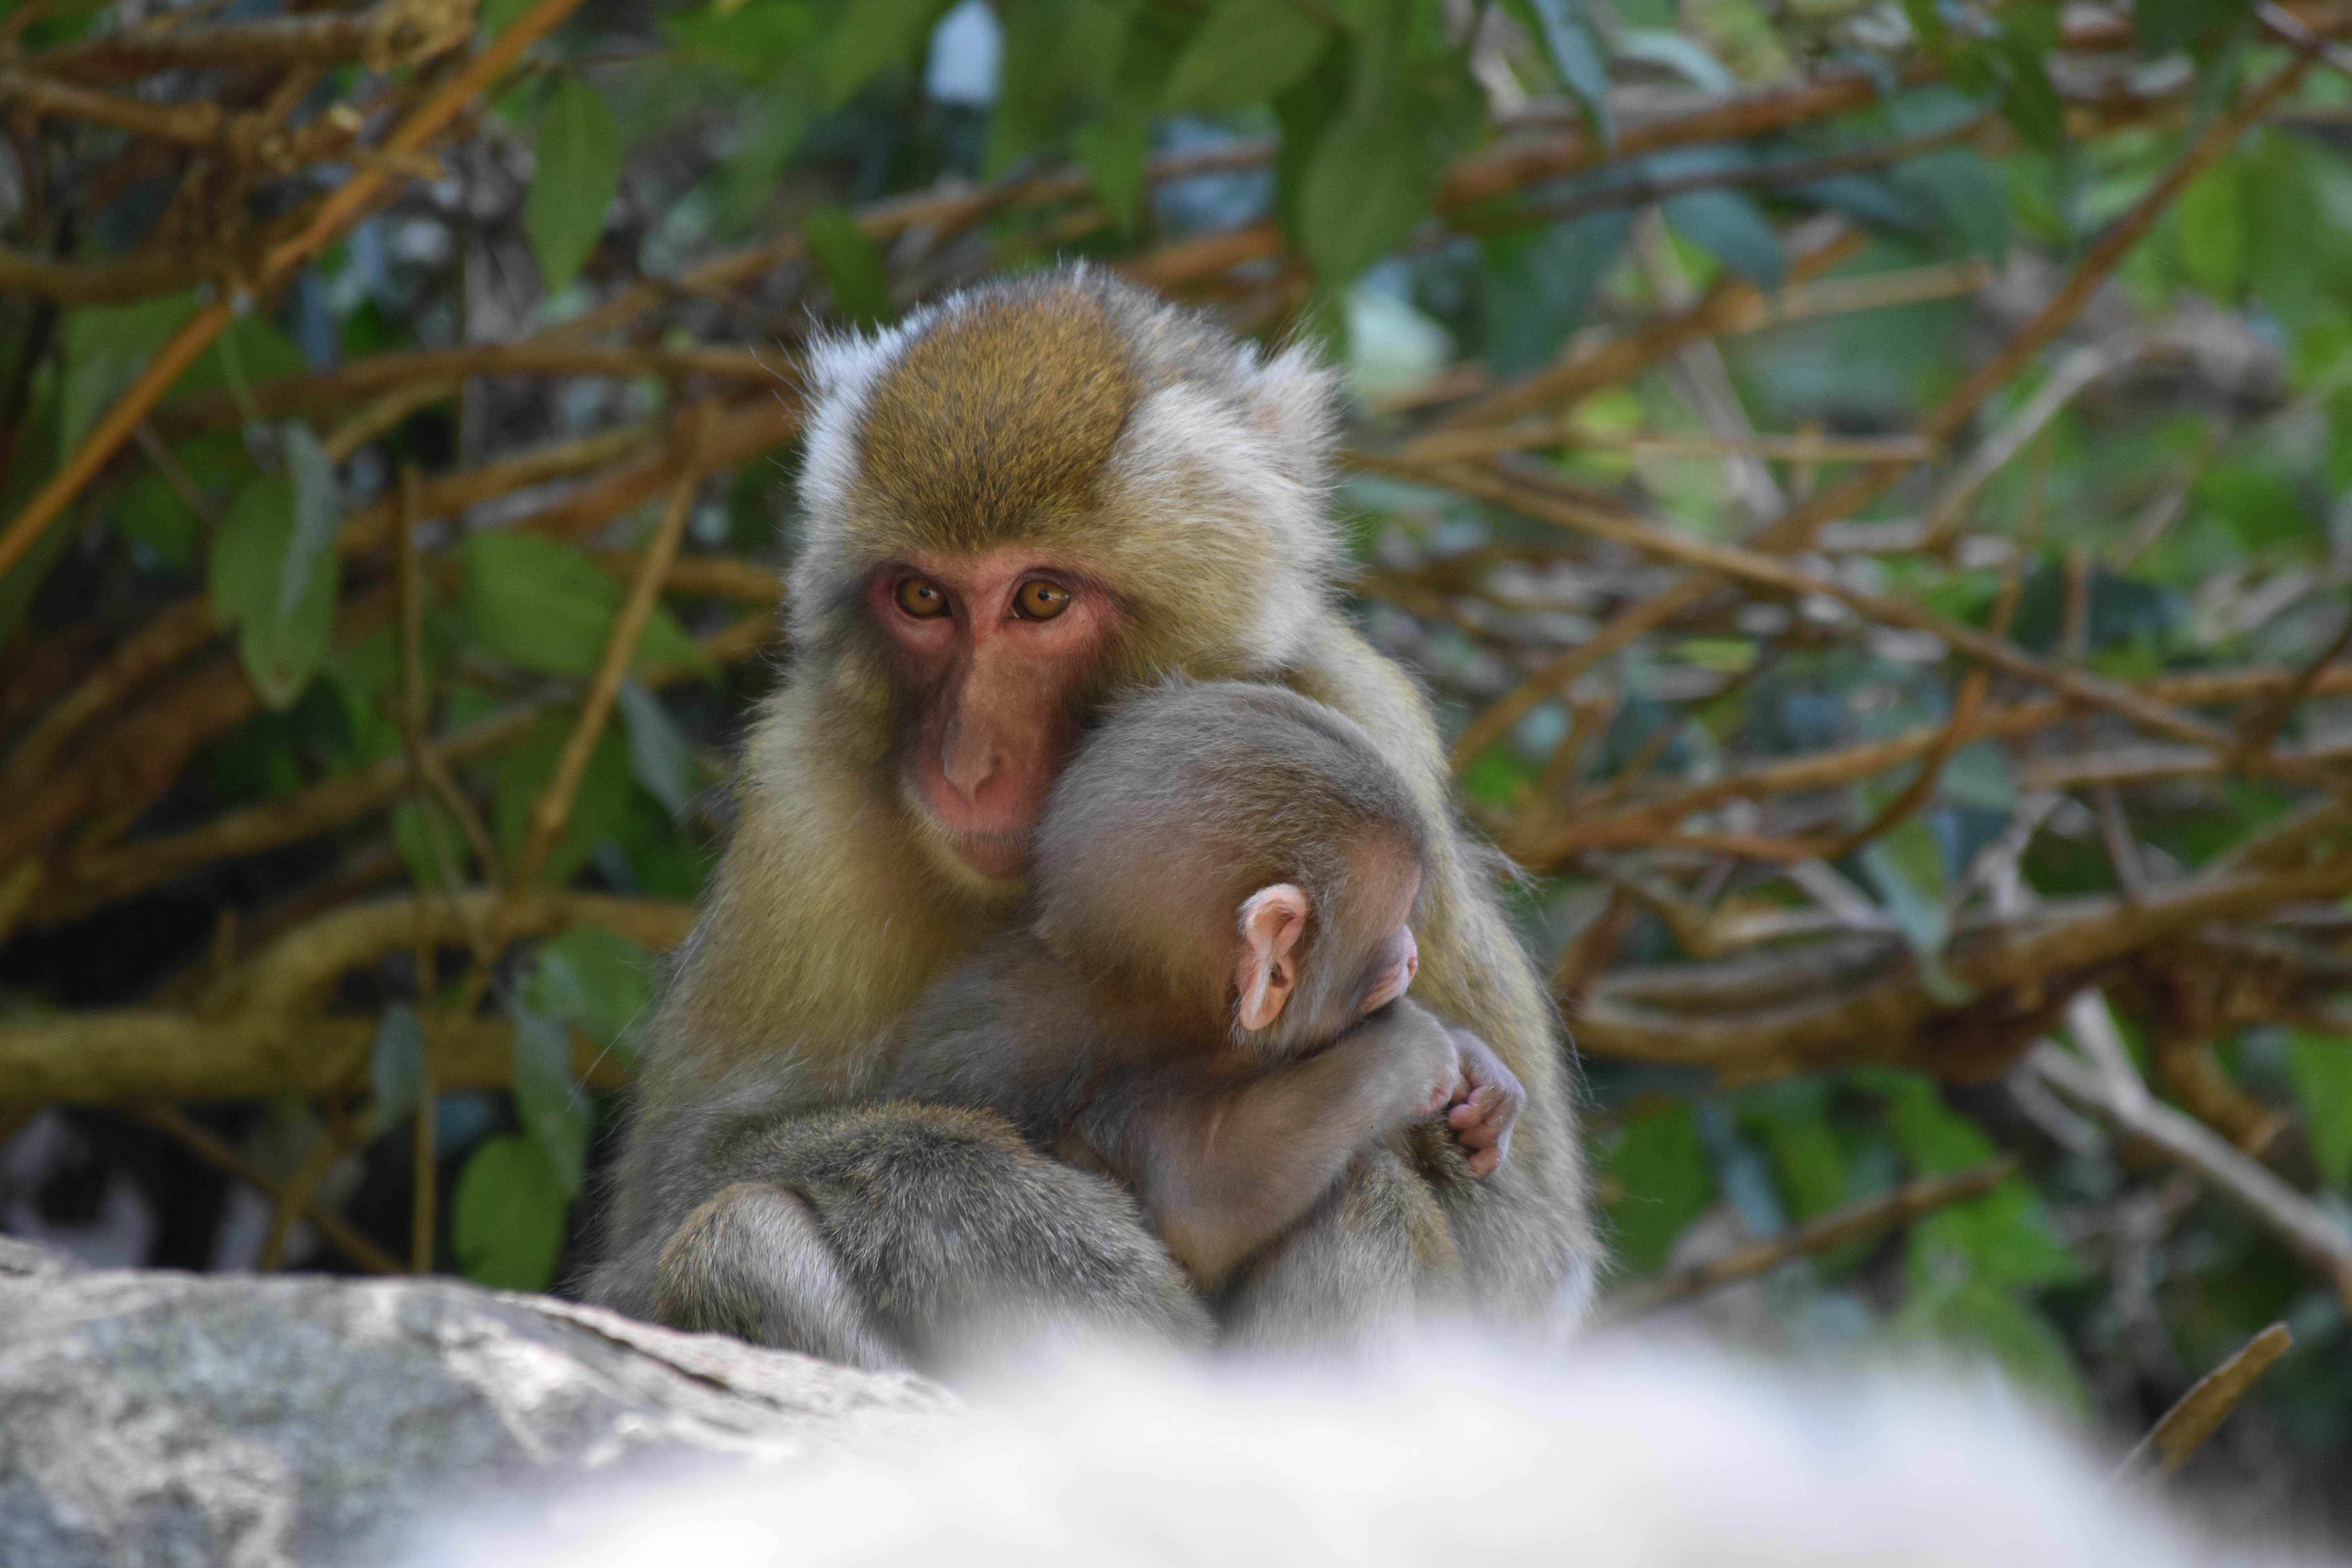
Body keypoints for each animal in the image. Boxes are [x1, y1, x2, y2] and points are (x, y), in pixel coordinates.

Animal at [877, 680, 1526, 1305]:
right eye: (1393, 927)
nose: (1411, 953)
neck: (1142, 988)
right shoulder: (1113, 1062)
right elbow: (1203, 1204)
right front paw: (1416, 1050)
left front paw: (1479, 1074)